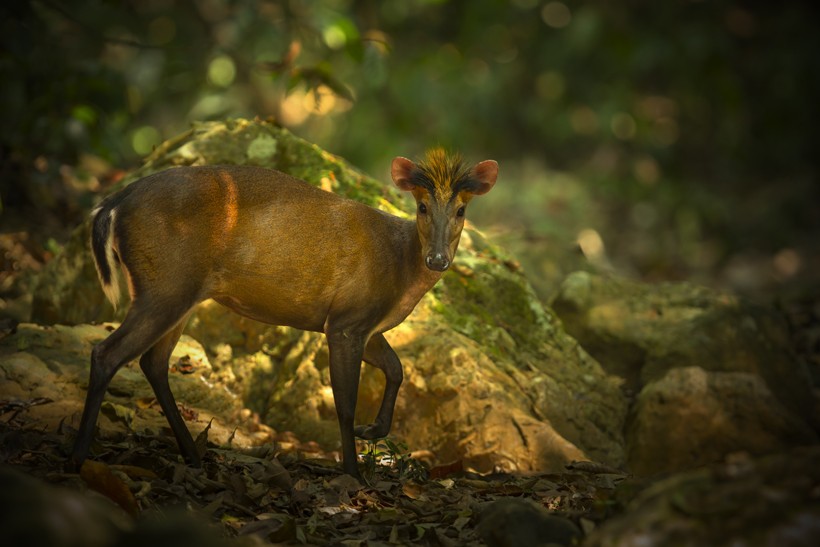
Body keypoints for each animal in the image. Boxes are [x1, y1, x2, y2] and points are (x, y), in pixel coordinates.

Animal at [70, 150, 496, 480]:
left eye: (461, 210)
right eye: (422, 206)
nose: (437, 259)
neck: (401, 269)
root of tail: (115, 202)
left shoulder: (365, 326)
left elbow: (397, 369)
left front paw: (374, 430)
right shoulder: (345, 322)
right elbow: (345, 404)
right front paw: (354, 473)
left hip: (178, 292)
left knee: (153, 362)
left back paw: (193, 454)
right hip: (165, 283)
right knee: (107, 352)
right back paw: (77, 455)